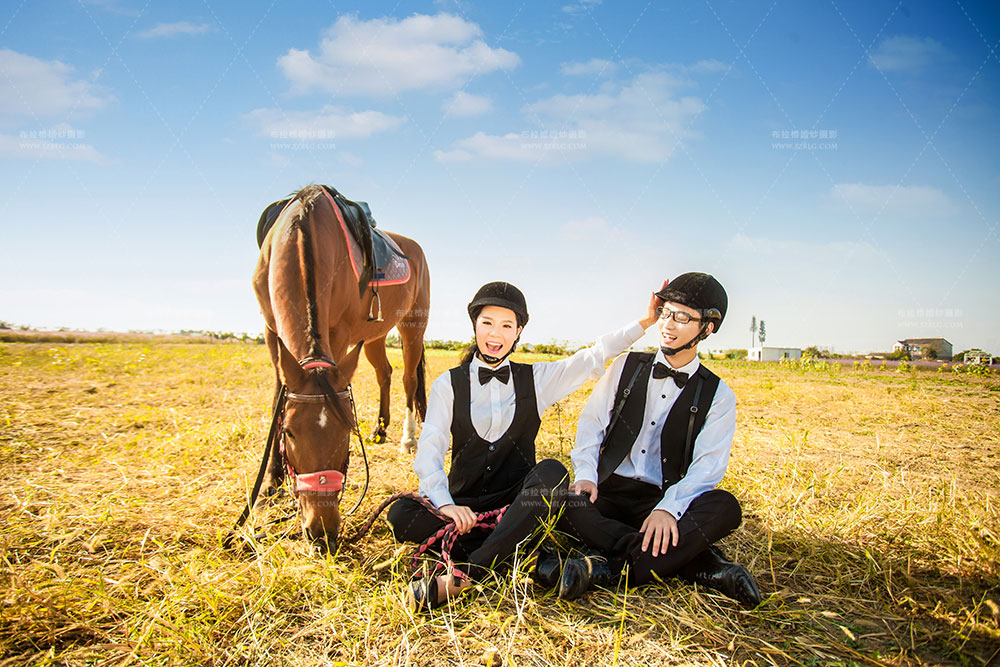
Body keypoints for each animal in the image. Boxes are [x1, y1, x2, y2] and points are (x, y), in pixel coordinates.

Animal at [252, 184, 428, 548]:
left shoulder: (340, 333)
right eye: (289, 432)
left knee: (409, 380)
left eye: (347, 430)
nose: (322, 531)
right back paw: (380, 429)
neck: (302, 230)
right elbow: (278, 394)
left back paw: (407, 439)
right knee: (384, 373)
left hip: (413, 326)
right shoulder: (271, 329)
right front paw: (271, 482)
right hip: (375, 334)